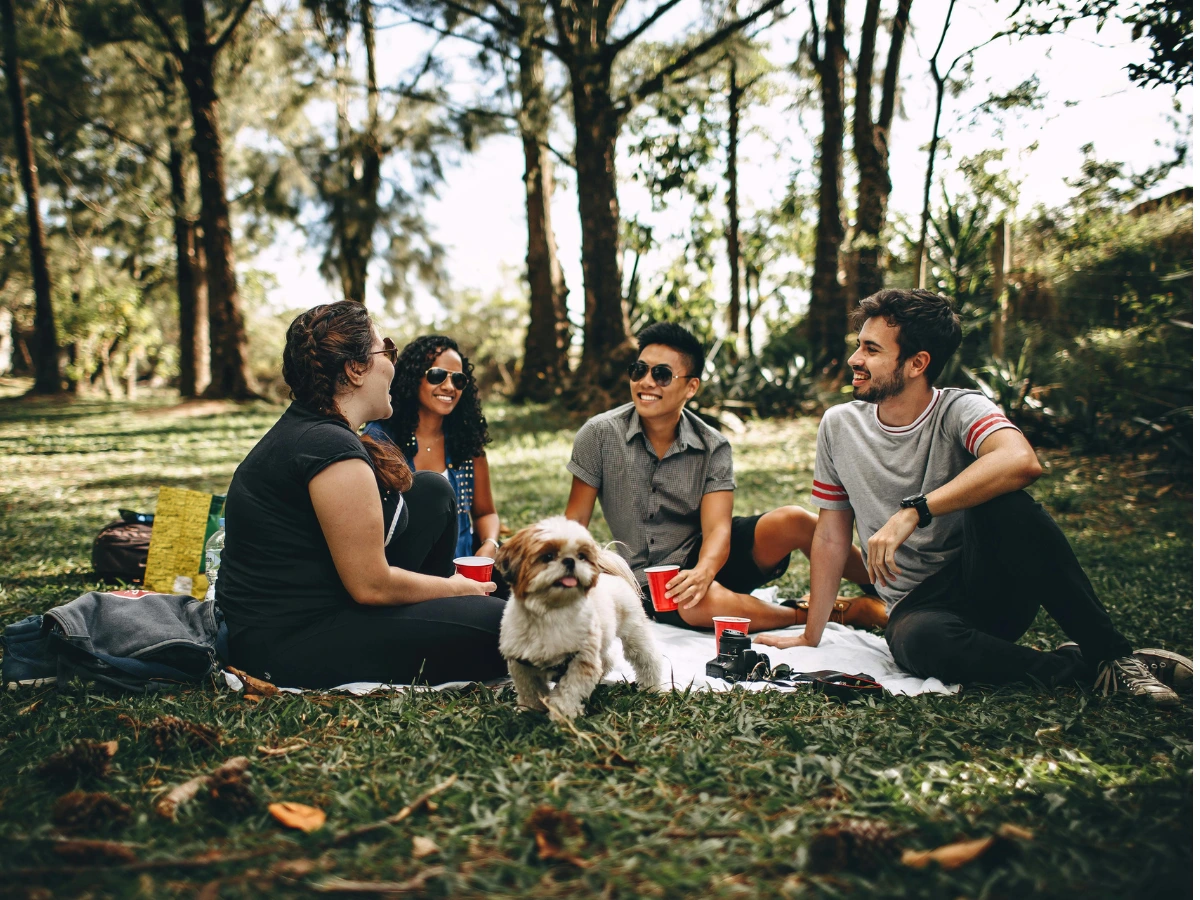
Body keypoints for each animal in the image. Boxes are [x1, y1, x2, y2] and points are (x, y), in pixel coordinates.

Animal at [496, 518, 667, 724]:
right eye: (548, 556)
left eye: (581, 556)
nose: (570, 561)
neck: (550, 612)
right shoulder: (522, 664)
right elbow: (530, 691)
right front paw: (529, 712)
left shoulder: (581, 661)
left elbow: (568, 692)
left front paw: (562, 716)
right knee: (607, 659)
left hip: (634, 632)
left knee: (647, 658)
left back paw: (651, 687)